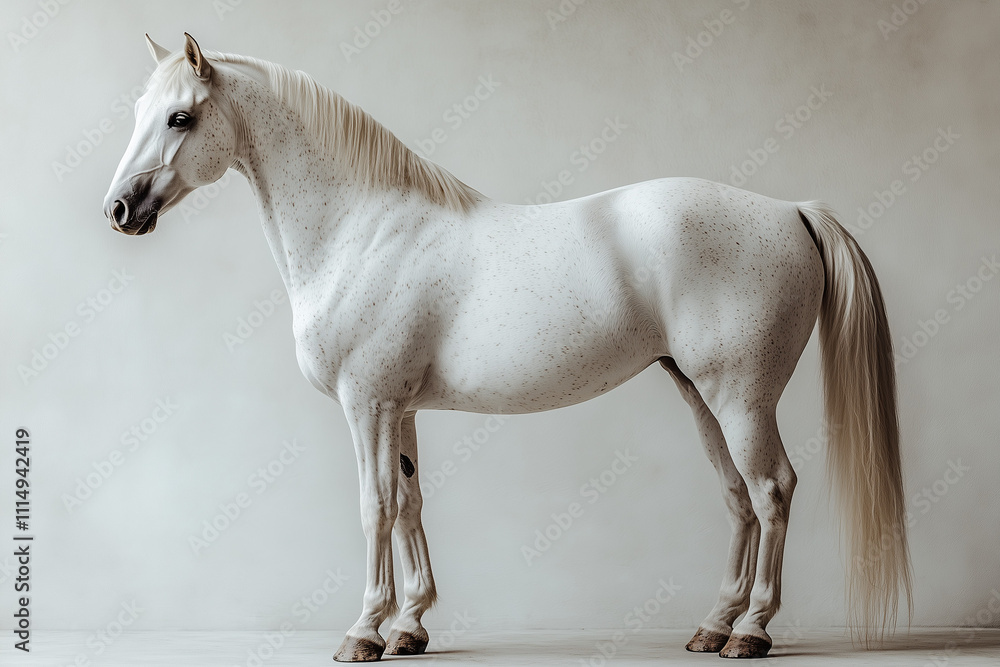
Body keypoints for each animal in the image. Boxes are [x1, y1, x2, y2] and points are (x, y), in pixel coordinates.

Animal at [104, 33, 911, 661]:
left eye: (181, 116)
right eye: (141, 113)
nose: (119, 209)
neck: (362, 228)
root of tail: (792, 211)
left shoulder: (368, 403)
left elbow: (374, 505)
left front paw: (364, 631)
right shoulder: (401, 409)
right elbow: (410, 502)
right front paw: (410, 626)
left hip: (741, 397)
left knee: (771, 490)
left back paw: (752, 631)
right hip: (700, 394)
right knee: (738, 496)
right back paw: (713, 626)